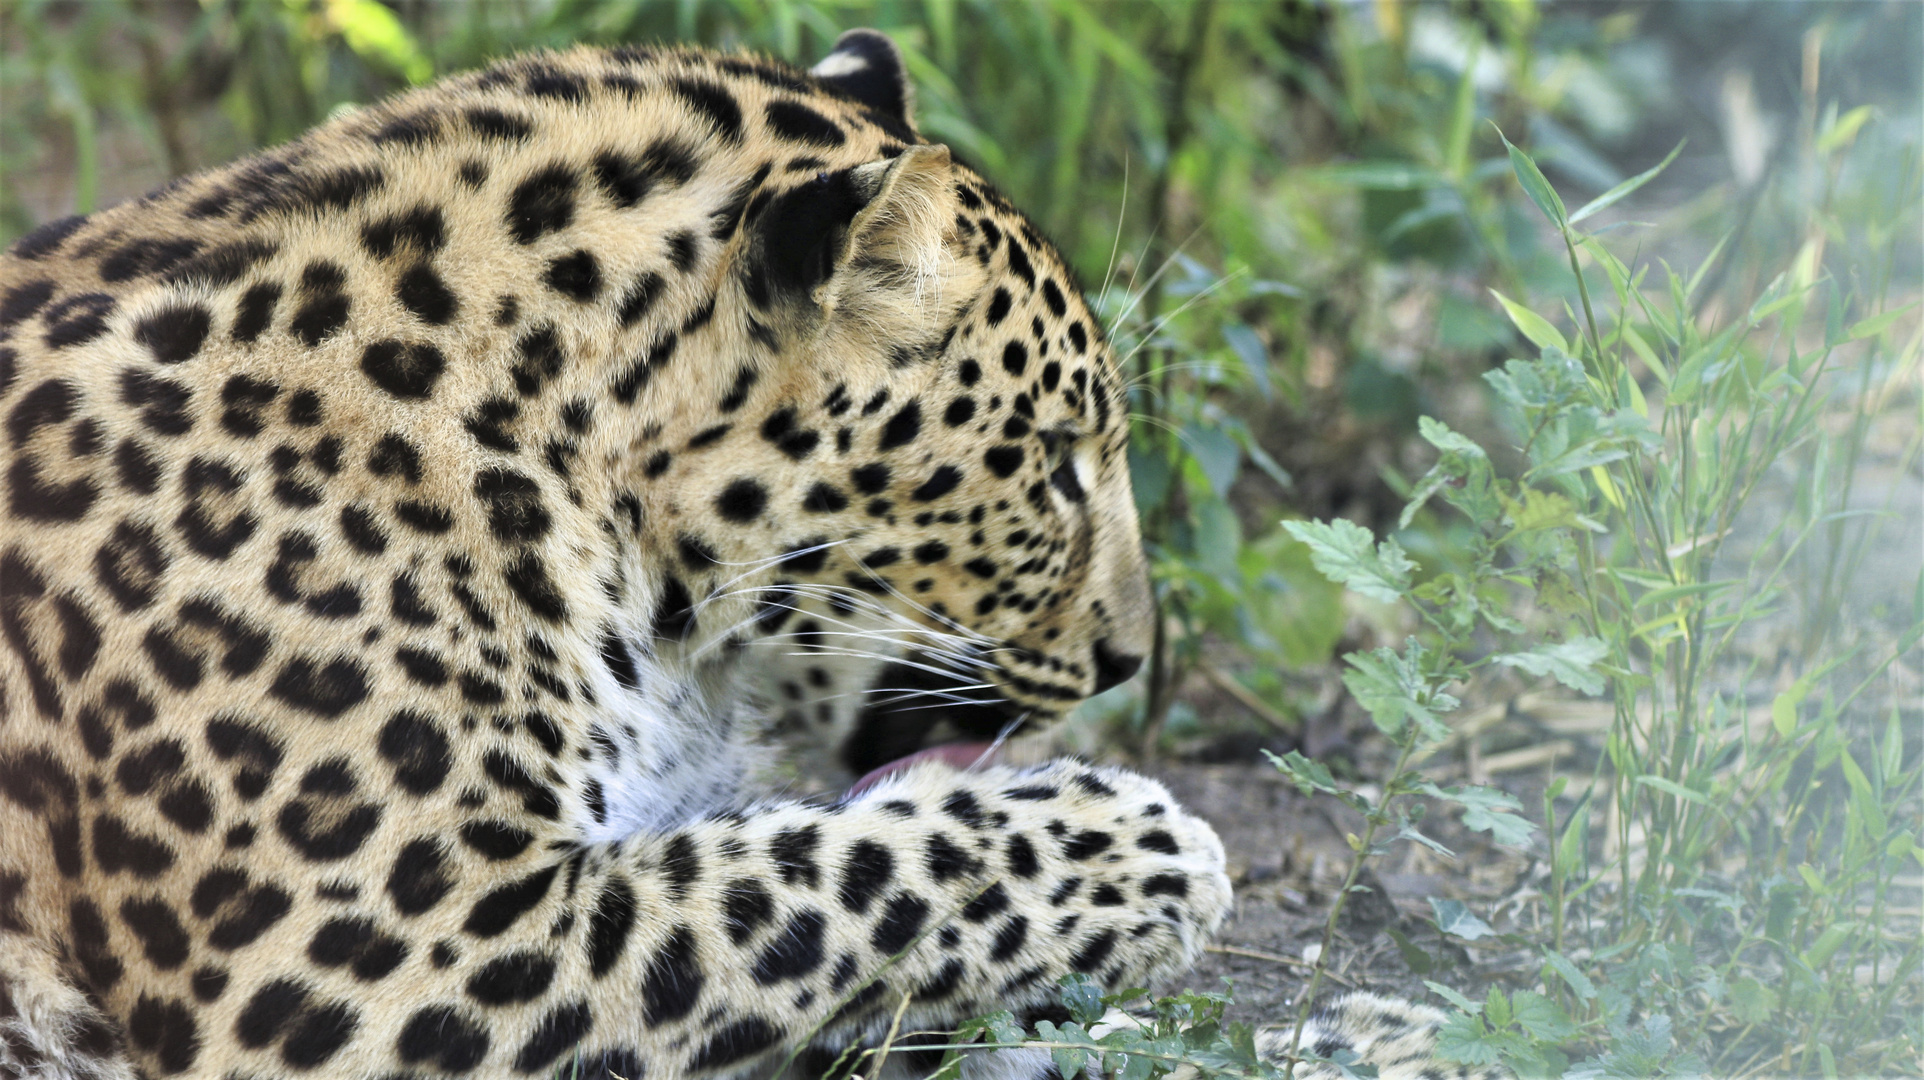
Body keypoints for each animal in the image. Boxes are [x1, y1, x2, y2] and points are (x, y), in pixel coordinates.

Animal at [0, 25, 1493, 1078]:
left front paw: (1371, 1036)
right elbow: (803, 881)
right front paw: (1138, 846)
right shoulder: (361, 967)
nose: (1132, 656)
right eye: (1056, 459)